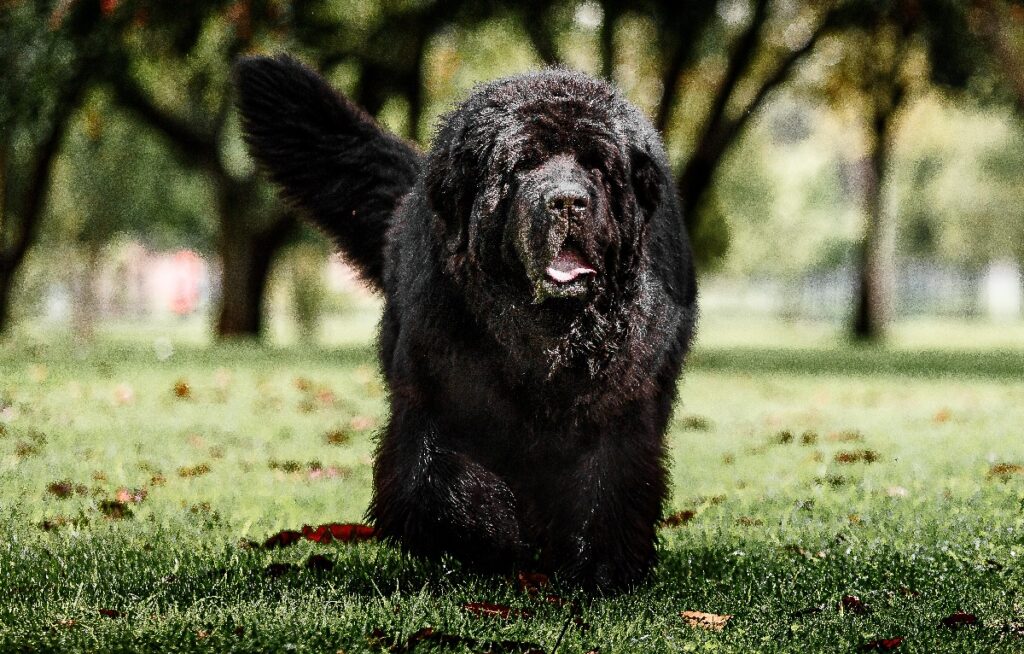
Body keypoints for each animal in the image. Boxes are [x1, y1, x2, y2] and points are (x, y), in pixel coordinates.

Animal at [234, 55, 696, 589]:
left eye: (598, 167)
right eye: (523, 165)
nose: (567, 201)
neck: (543, 337)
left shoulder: (619, 406)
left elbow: (609, 487)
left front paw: (599, 569)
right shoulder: (436, 393)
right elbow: (440, 479)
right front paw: (488, 534)